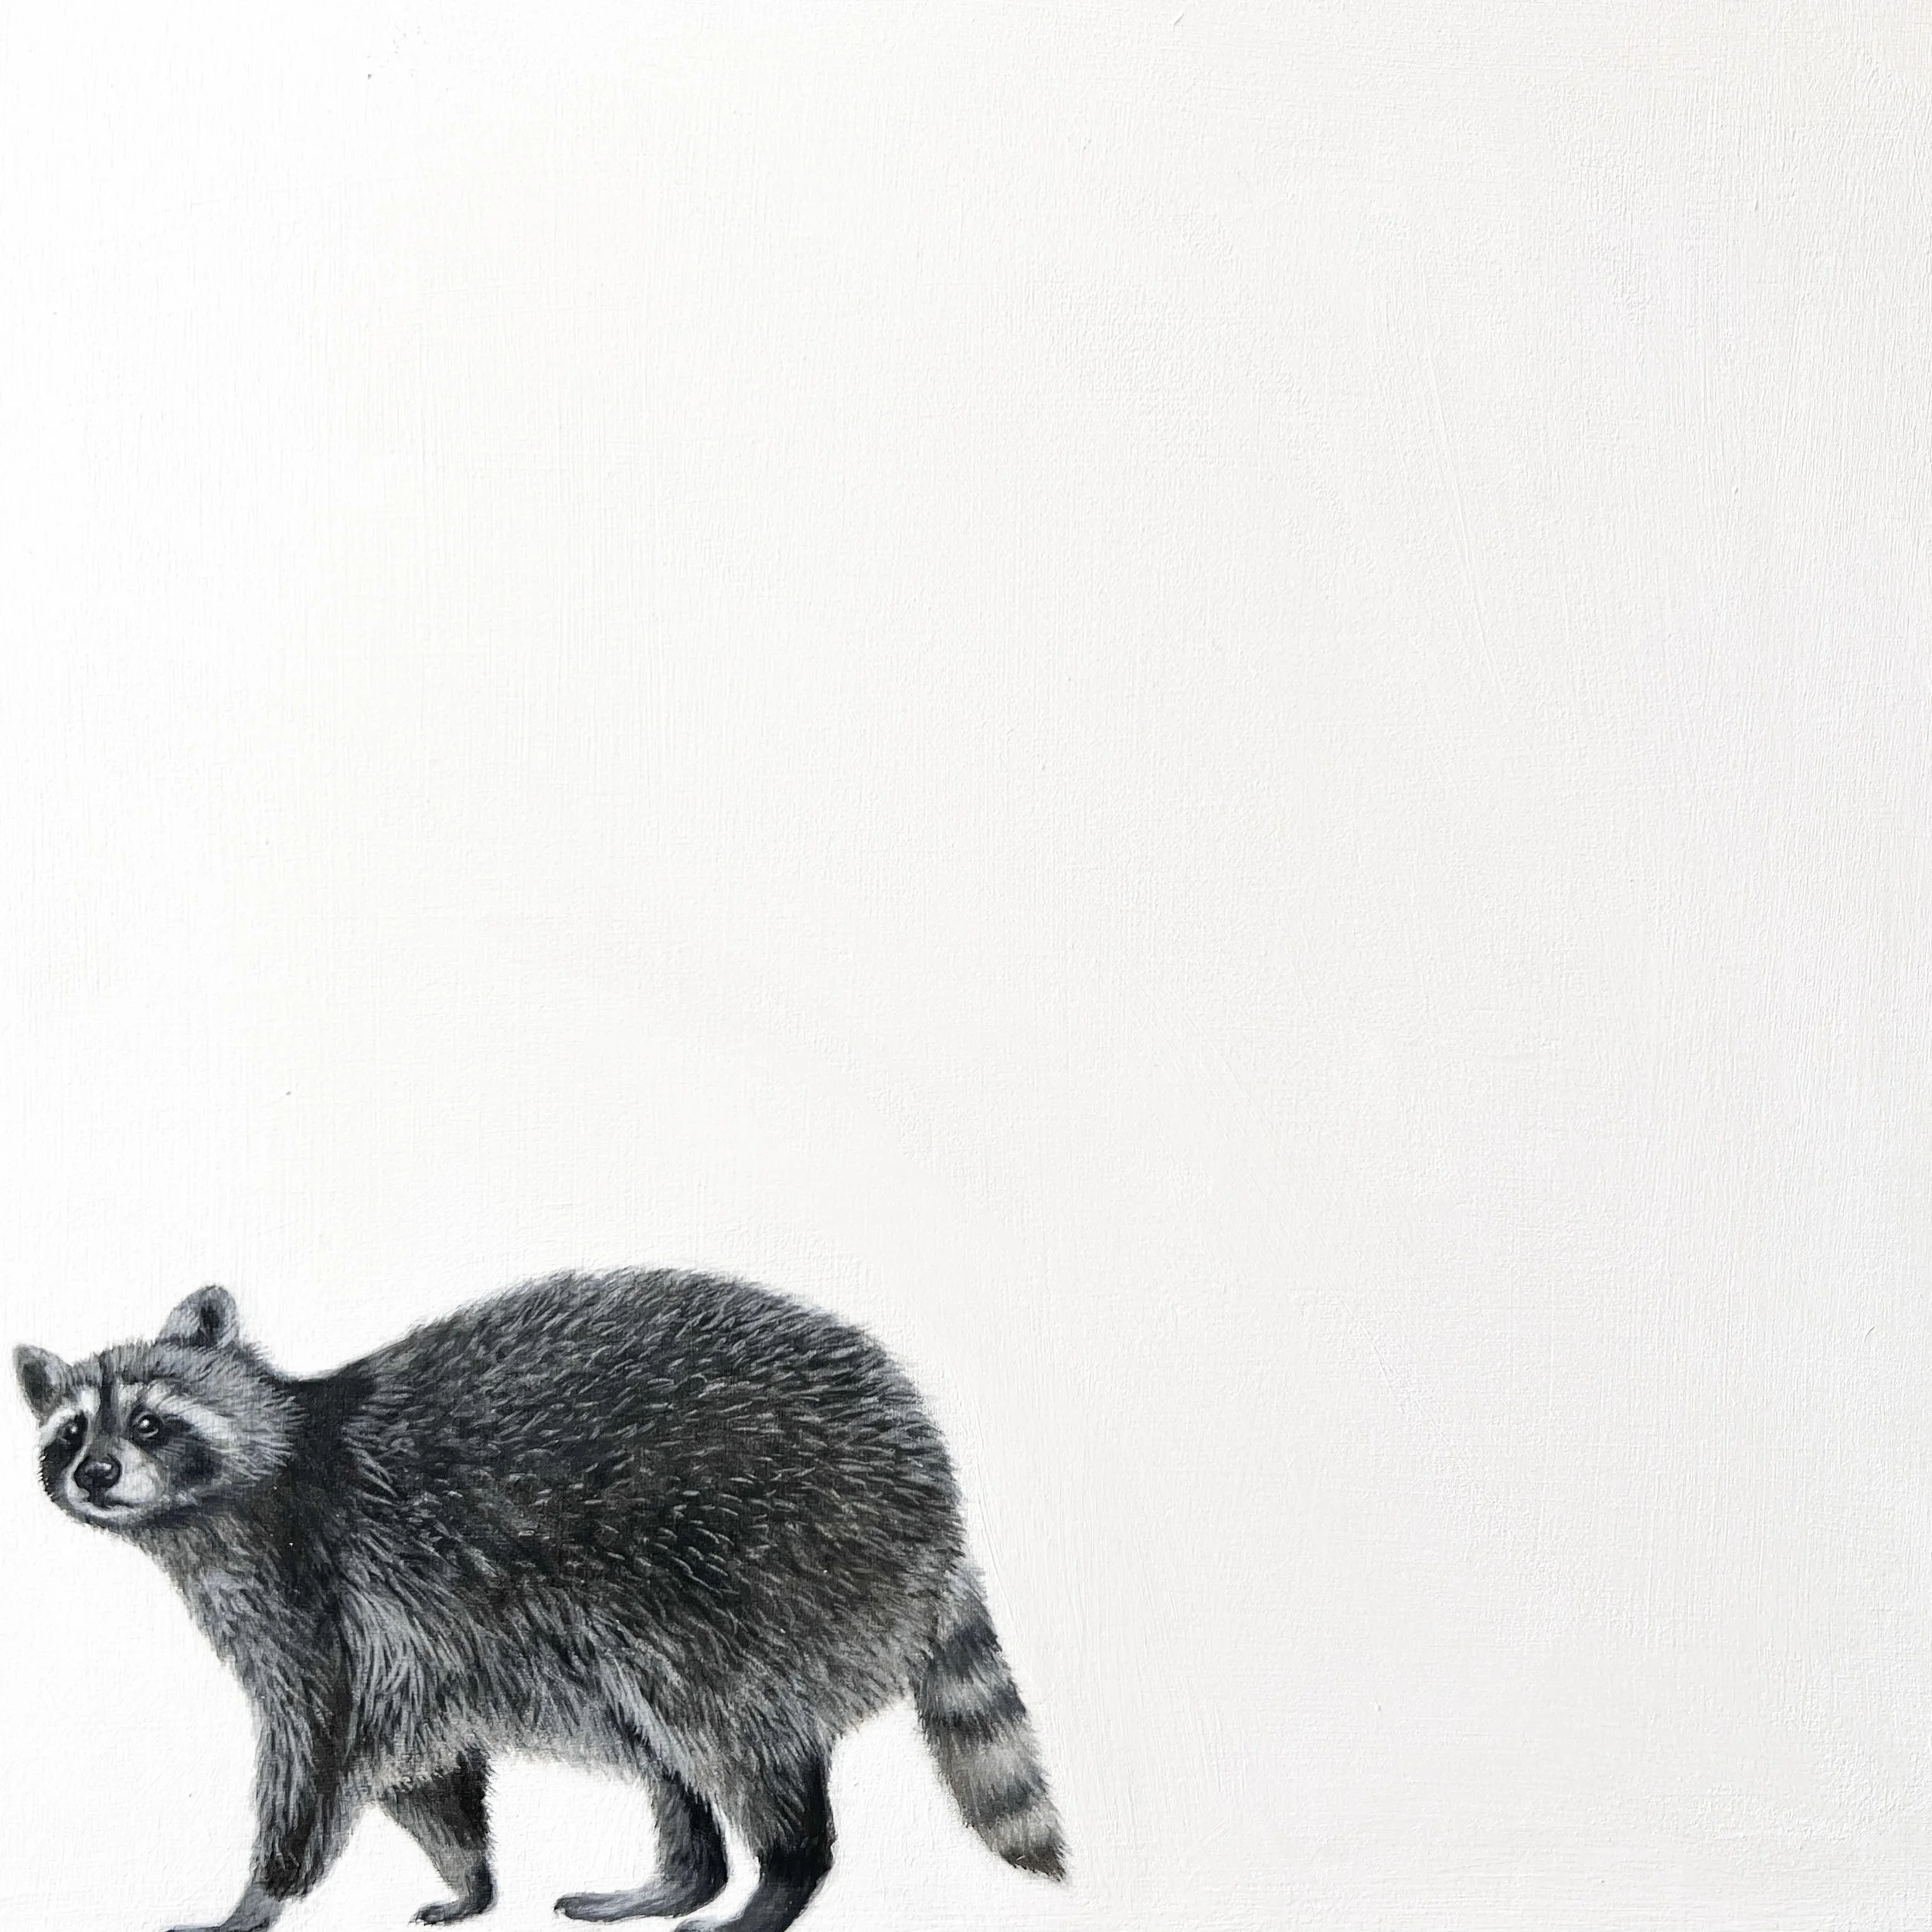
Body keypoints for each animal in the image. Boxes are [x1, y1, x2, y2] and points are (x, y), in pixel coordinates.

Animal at [15, 1270, 1065, 1932]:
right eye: (69, 1434)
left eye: (150, 1421)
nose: (96, 1473)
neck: (226, 1500)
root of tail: (936, 1498)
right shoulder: (403, 1643)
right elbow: (427, 1769)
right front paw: (472, 1878)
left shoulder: (322, 1598)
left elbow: (321, 1749)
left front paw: (259, 1896)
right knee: (662, 1746)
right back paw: (685, 1875)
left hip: (757, 1568)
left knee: (722, 1725)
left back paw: (779, 1876)